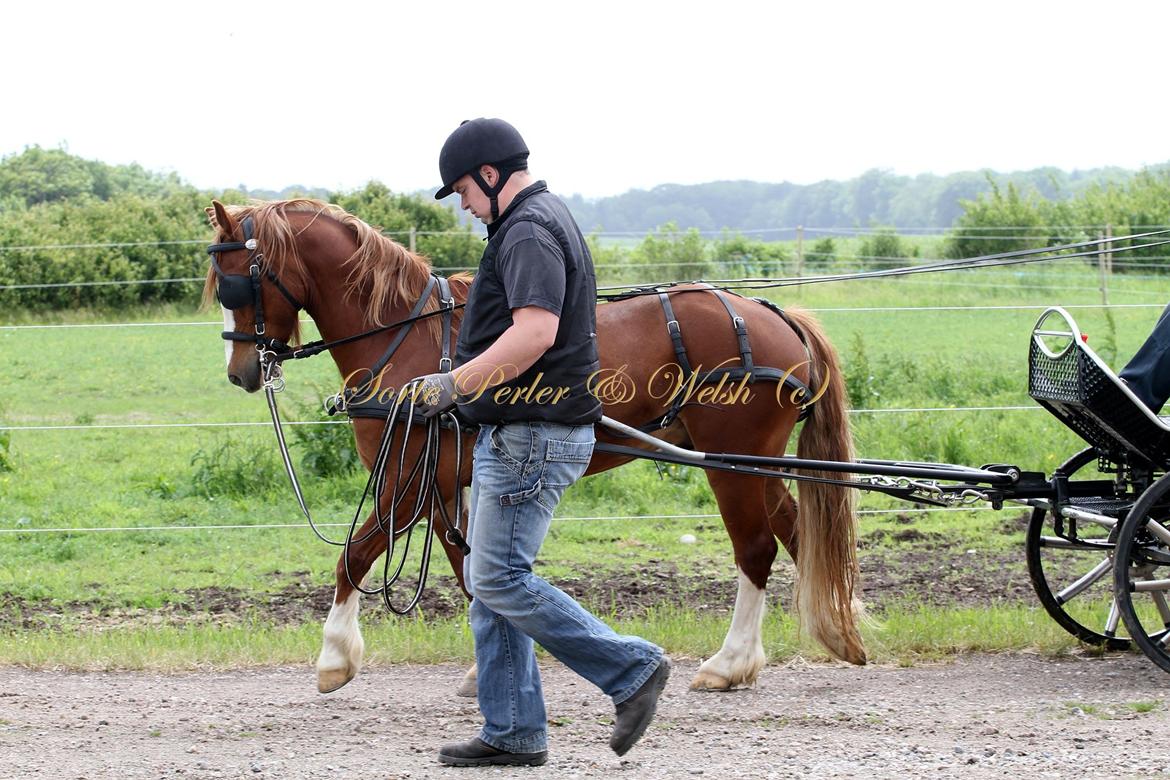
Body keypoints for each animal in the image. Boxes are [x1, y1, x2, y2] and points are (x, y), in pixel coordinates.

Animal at [201, 199, 865, 696]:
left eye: (237, 283)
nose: (239, 371)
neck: (408, 338)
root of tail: (776, 316)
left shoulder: (408, 481)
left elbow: (355, 554)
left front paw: (335, 658)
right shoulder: (445, 483)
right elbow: (466, 569)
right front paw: (484, 667)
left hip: (732, 464)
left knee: (757, 548)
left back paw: (732, 663)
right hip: (753, 465)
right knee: (796, 530)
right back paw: (842, 626)